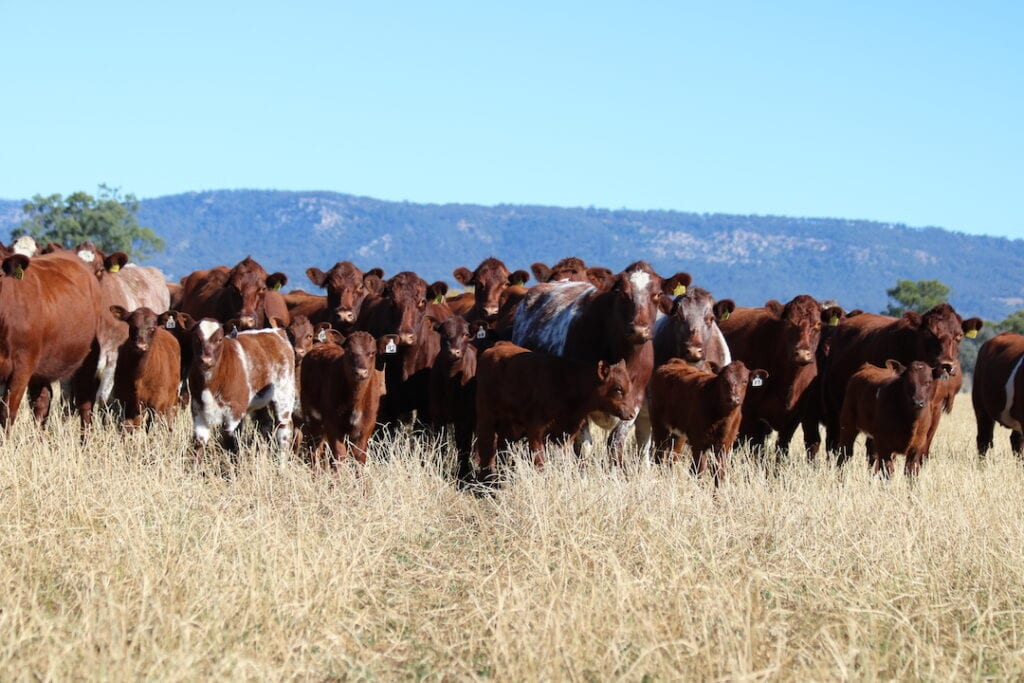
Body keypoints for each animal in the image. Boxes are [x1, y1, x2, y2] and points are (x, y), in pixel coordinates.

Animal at [187, 319, 296, 458]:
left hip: (284, 396)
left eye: (219, 339)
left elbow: (230, 442)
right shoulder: (197, 410)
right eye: (196, 338)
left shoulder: (234, 412)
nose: (206, 360)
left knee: (284, 429)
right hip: (259, 402)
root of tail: (277, 331)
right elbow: (199, 444)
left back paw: (282, 461)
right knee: (265, 424)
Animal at [299, 331, 393, 471]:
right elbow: (339, 455)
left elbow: (359, 457)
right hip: (311, 417)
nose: (361, 372)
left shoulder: (367, 425)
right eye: (349, 351)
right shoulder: (332, 423)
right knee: (314, 449)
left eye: (372, 352)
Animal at [475, 344, 634, 483]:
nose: (632, 413)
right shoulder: (536, 432)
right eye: (618, 389)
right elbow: (540, 463)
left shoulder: (566, 435)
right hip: (486, 419)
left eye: (629, 386)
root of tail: (495, 348)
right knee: (487, 448)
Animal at [509, 264, 688, 464]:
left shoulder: (633, 402)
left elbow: (616, 443)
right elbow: (584, 445)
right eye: (622, 293)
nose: (639, 329)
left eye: (657, 294)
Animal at [716, 294, 835, 458]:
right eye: (789, 323)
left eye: (817, 325)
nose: (802, 353)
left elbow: (781, 450)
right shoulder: (752, 417)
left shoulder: (792, 419)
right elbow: (756, 450)